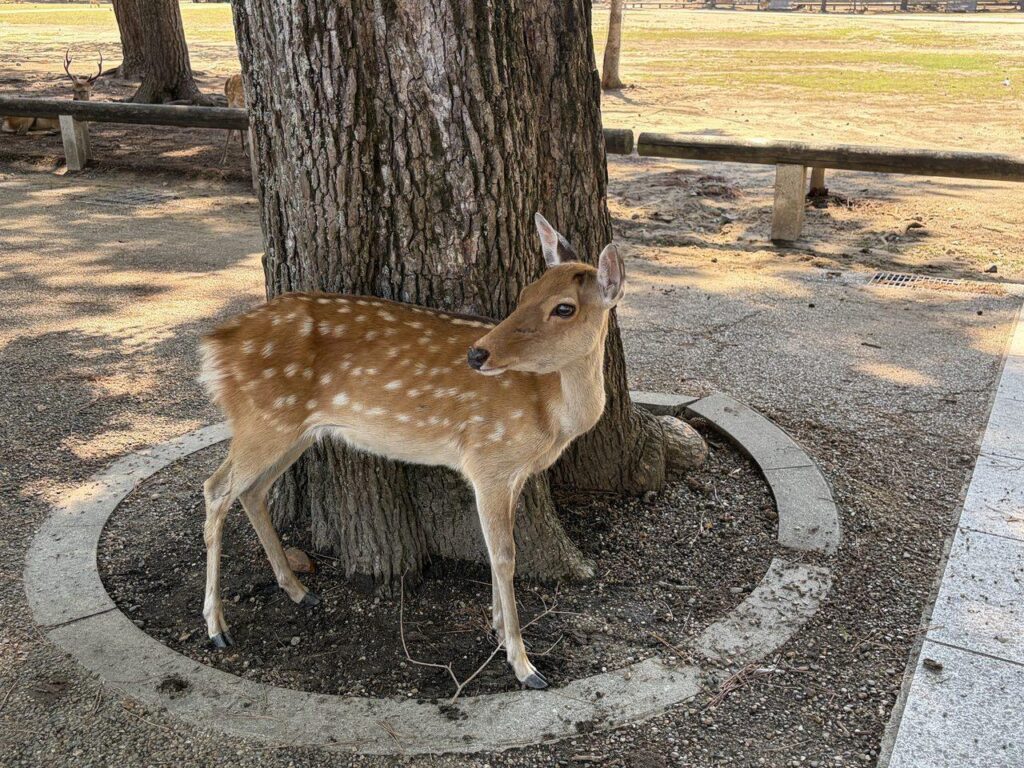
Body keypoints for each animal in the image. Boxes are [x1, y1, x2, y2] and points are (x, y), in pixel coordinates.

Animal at [198, 213, 625, 689]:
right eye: (524, 294)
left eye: (564, 307)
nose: (478, 354)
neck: (552, 414)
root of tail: (213, 346)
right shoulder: (488, 459)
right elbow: (505, 555)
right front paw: (523, 665)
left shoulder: (512, 472)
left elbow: (497, 551)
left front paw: (499, 629)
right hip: (263, 419)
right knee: (216, 488)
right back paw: (216, 628)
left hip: (296, 430)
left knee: (252, 491)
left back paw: (299, 591)